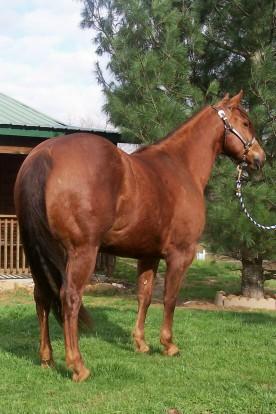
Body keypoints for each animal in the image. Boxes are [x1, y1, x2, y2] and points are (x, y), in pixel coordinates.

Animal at [14, 92, 266, 384]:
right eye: (246, 123)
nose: (260, 158)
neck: (181, 167)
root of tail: (45, 154)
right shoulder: (181, 254)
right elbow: (169, 298)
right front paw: (168, 345)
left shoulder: (148, 256)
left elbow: (144, 296)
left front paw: (141, 343)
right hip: (81, 252)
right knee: (70, 297)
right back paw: (78, 366)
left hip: (35, 252)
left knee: (42, 295)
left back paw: (47, 359)